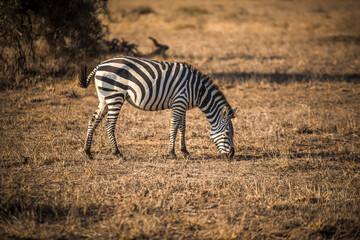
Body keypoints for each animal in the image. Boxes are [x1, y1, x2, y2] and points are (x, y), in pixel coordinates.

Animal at [79, 56, 238, 159]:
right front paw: (172, 153)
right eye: (227, 133)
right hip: (115, 96)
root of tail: (100, 65)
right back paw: (117, 153)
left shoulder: (183, 105)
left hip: (104, 98)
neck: (197, 90)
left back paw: (88, 152)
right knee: (109, 124)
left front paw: (185, 151)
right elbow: (174, 127)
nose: (231, 155)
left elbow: (182, 127)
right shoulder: (179, 102)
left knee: (93, 121)